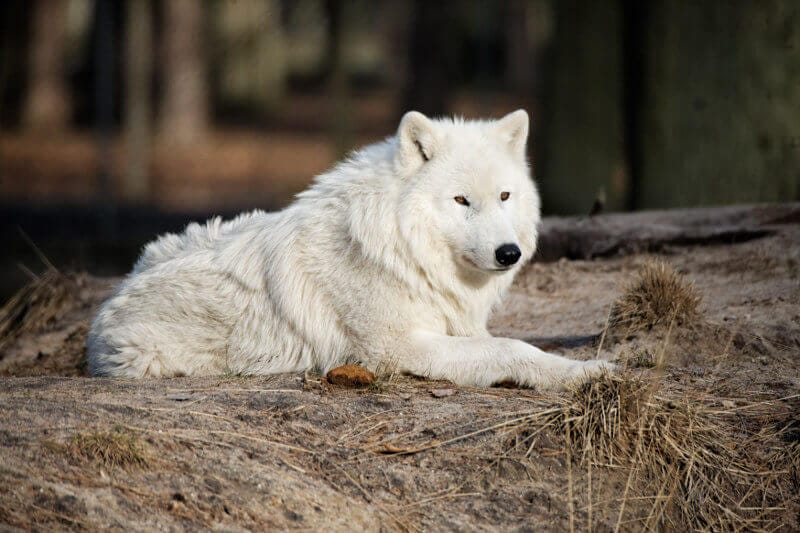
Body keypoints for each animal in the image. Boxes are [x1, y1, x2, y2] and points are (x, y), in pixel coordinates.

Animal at [87, 110, 613, 389]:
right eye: (462, 200)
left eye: (505, 196)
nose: (509, 253)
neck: (405, 254)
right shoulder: (399, 348)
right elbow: (511, 347)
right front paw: (583, 374)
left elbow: (514, 342)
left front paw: (587, 366)